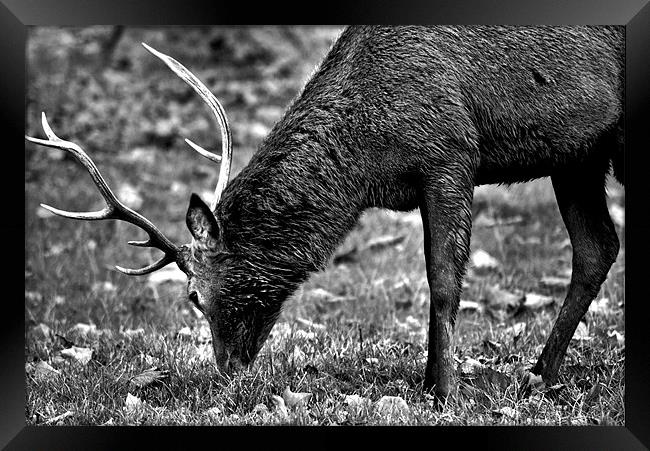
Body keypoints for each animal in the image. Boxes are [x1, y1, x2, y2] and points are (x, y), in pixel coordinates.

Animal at [26, 26, 624, 400]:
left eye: (193, 295)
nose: (227, 372)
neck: (368, 164)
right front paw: (431, 382)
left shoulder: (451, 153)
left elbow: (444, 278)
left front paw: (443, 390)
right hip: (579, 155)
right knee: (598, 246)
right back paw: (540, 376)